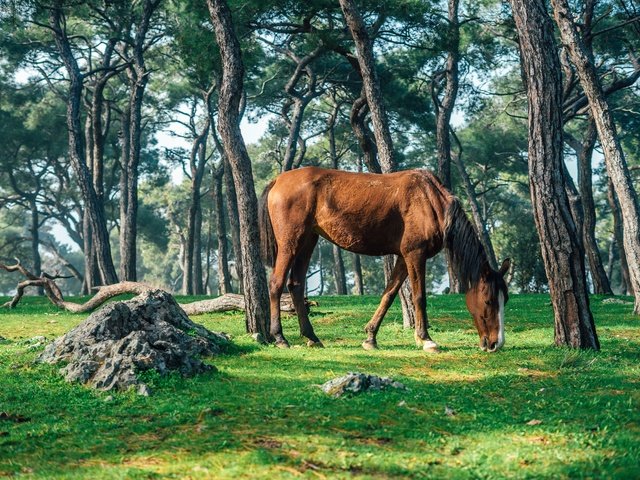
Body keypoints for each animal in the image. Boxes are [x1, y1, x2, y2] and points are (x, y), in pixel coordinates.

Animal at [258, 168, 512, 352]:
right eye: (489, 300)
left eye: (505, 299)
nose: (495, 344)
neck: (431, 201)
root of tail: (278, 180)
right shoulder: (415, 255)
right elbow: (419, 298)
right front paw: (426, 339)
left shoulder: (403, 257)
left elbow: (389, 295)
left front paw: (371, 337)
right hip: (291, 243)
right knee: (276, 284)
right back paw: (280, 337)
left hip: (308, 241)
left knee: (295, 285)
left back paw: (311, 337)